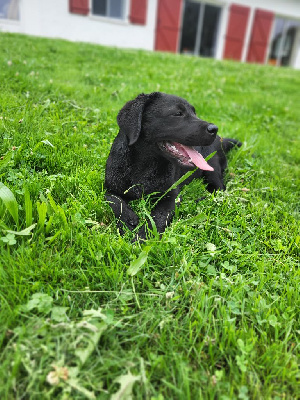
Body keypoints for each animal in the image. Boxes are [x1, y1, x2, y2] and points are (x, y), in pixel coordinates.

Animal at [105, 92, 241, 239]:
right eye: (178, 113)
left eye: (195, 113)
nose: (214, 128)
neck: (143, 167)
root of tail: (220, 139)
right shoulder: (110, 188)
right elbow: (113, 201)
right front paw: (128, 220)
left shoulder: (171, 196)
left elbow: (157, 218)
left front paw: (142, 237)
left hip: (212, 170)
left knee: (219, 191)